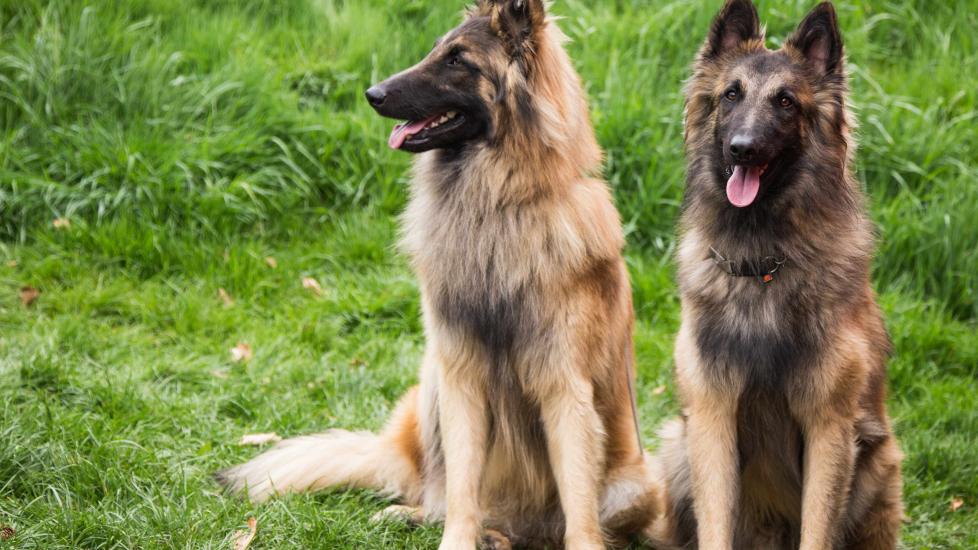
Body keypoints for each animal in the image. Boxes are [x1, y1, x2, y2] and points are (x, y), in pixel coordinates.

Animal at [214, 2, 656, 548]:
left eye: (458, 60)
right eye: (435, 51)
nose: (372, 94)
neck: (495, 206)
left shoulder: (564, 390)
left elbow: (578, 503)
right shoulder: (459, 374)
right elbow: (462, 487)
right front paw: (457, 539)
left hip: (638, 485)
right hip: (428, 387)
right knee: (437, 493)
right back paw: (424, 517)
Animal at [648, 1, 900, 550]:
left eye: (786, 102)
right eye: (731, 94)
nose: (742, 149)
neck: (761, 261)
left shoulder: (830, 426)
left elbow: (817, 528)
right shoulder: (711, 416)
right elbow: (715, 524)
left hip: (879, 461)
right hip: (678, 444)